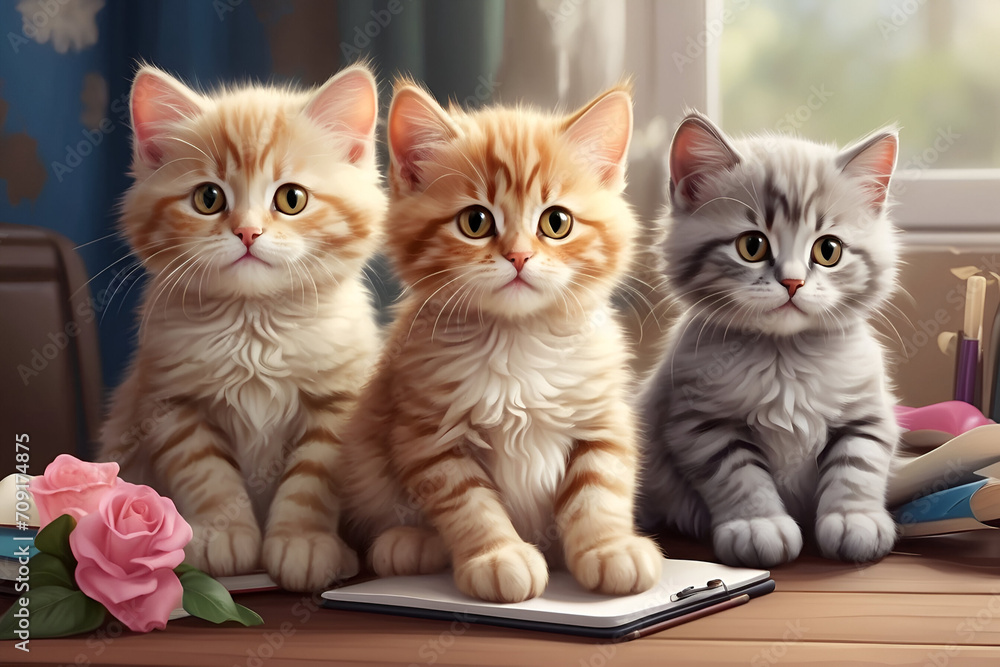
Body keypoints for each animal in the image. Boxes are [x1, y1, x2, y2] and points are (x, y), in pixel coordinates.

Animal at [344, 81, 664, 604]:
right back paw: (409, 542)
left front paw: (609, 547)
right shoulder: (429, 432)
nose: (518, 256)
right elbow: (471, 503)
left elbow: (600, 489)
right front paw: (499, 556)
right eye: (476, 221)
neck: (518, 341)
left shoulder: (603, 418)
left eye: (556, 222)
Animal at [640, 115, 908, 568]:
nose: (793, 282)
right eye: (752, 245)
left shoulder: (869, 413)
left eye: (828, 250)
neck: (786, 358)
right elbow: (739, 475)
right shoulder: (699, 421)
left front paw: (854, 519)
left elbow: (857, 466)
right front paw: (757, 524)